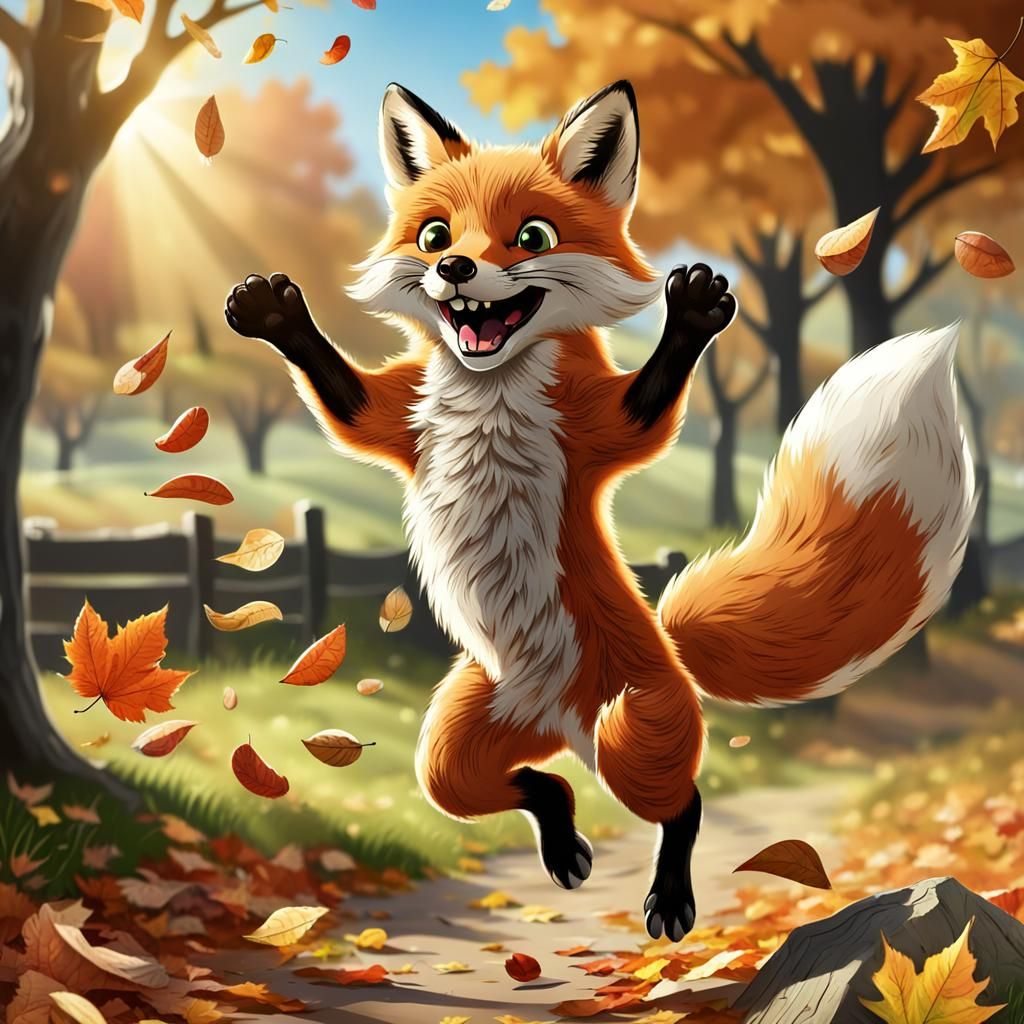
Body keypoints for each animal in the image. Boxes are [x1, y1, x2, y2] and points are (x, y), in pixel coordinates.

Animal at [225, 80, 975, 941]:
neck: (491, 392)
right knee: (528, 787)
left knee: (684, 804)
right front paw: (275, 316)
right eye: (435, 233)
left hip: (634, 730)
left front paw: (694, 314)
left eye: (531, 236)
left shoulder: (592, 425)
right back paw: (563, 841)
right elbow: (348, 407)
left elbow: (645, 411)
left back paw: (670, 898)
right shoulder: (403, 418)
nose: (453, 267)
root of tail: (569, 723)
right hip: (455, 742)